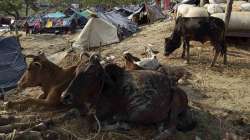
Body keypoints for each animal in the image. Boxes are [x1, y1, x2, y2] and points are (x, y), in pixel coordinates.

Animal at [60, 54, 195, 139]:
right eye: (76, 71)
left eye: (90, 72)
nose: (65, 96)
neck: (103, 90)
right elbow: (72, 112)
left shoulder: (106, 115)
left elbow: (95, 125)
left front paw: (123, 125)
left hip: (175, 99)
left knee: (171, 129)